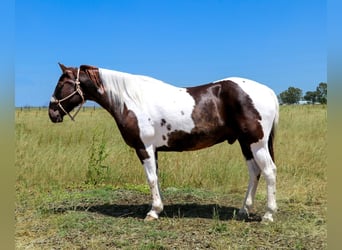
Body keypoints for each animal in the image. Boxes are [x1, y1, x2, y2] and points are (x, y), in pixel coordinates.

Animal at [48, 63, 280, 222]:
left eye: (62, 83)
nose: (52, 113)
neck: (131, 100)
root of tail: (268, 91)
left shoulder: (144, 148)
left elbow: (150, 179)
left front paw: (152, 212)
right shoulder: (154, 150)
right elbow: (157, 179)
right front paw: (159, 208)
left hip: (256, 143)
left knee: (269, 171)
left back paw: (268, 214)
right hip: (245, 143)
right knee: (254, 172)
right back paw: (244, 210)